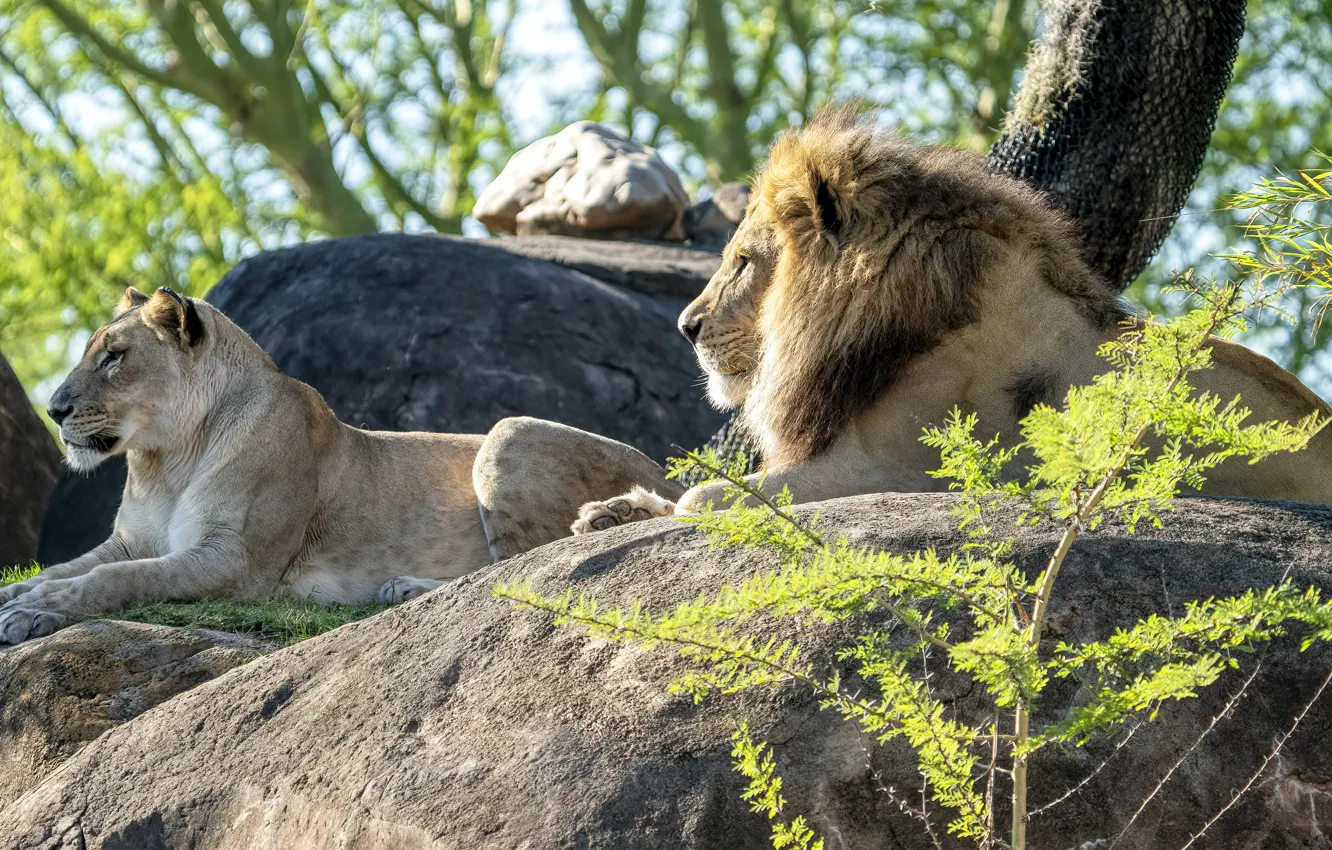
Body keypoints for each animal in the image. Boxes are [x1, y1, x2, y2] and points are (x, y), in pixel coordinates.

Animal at [0, 287, 676, 645]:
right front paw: (20, 595)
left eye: (115, 356)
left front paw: (35, 611)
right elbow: (73, 566)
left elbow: (118, 581)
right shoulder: (130, 540)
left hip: (507, 434)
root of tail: (668, 470)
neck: (165, 459)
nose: (54, 409)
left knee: (522, 562)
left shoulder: (237, 562)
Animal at [569, 107, 1332, 532]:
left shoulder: (893, 468)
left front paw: (678, 503)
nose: (686, 327)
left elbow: (712, 496)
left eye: (742, 261)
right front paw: (615, 510)